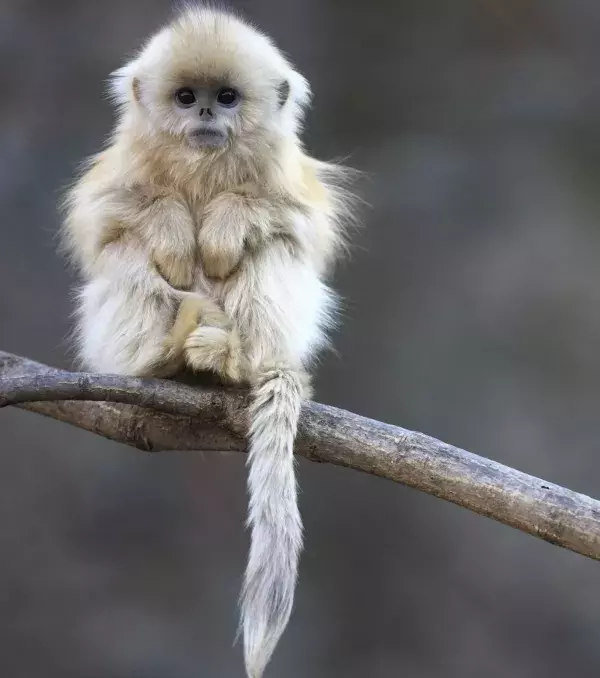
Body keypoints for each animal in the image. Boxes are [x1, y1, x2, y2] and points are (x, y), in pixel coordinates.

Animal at [61, 6, 357, 677]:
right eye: (185, 97)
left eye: (226, 97)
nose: (203, 114)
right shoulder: (120, 174)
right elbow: (104, 221)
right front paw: (174, 230)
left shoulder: (287, 179)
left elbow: (297, 225)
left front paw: (222, 227)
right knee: (127, 251)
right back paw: (161, 359)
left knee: (273, 249)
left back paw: (229, 360)